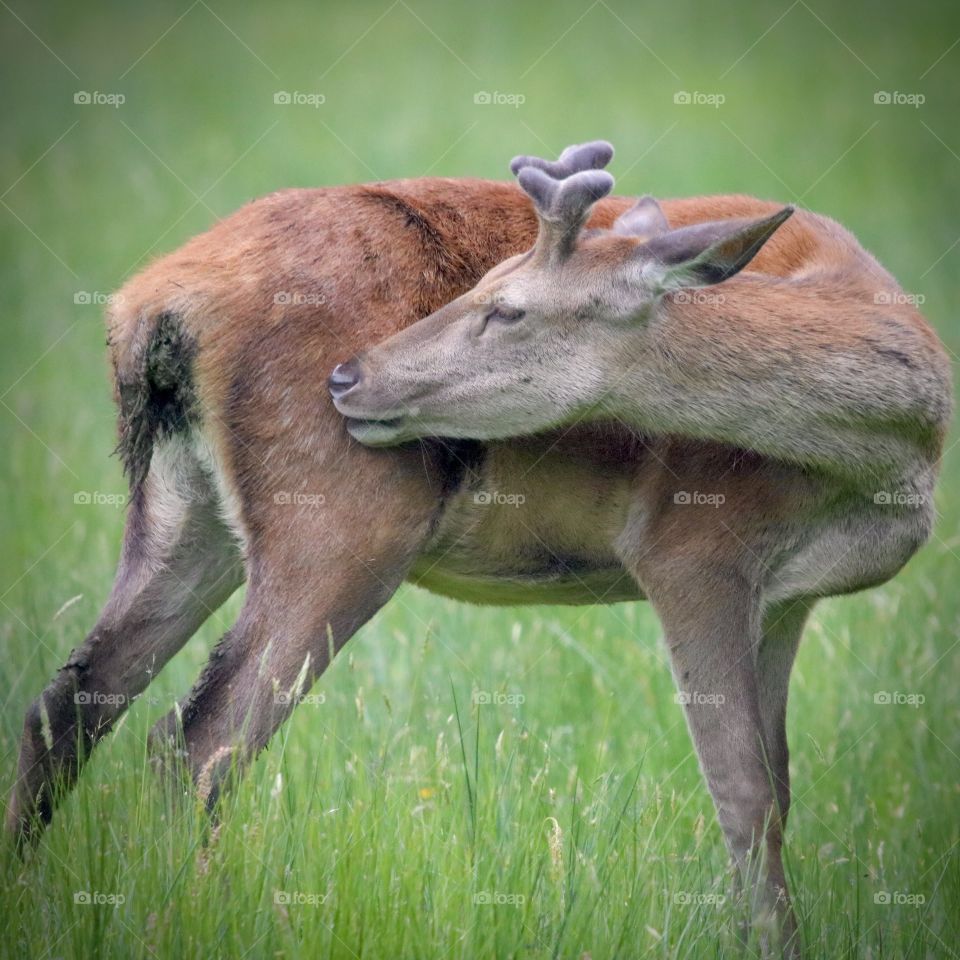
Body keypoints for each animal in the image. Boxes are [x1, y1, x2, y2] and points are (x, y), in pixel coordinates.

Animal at [8, 139, 950, 957]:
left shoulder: (791, 599)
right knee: (194, 747)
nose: (351, 376)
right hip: (342, 526)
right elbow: (744, 795)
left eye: (507, 308)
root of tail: (155, 304)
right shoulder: (691, 549)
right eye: (490, 286)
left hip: (185, 507)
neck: (895, 456)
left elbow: (780, 789)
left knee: (71, 702)